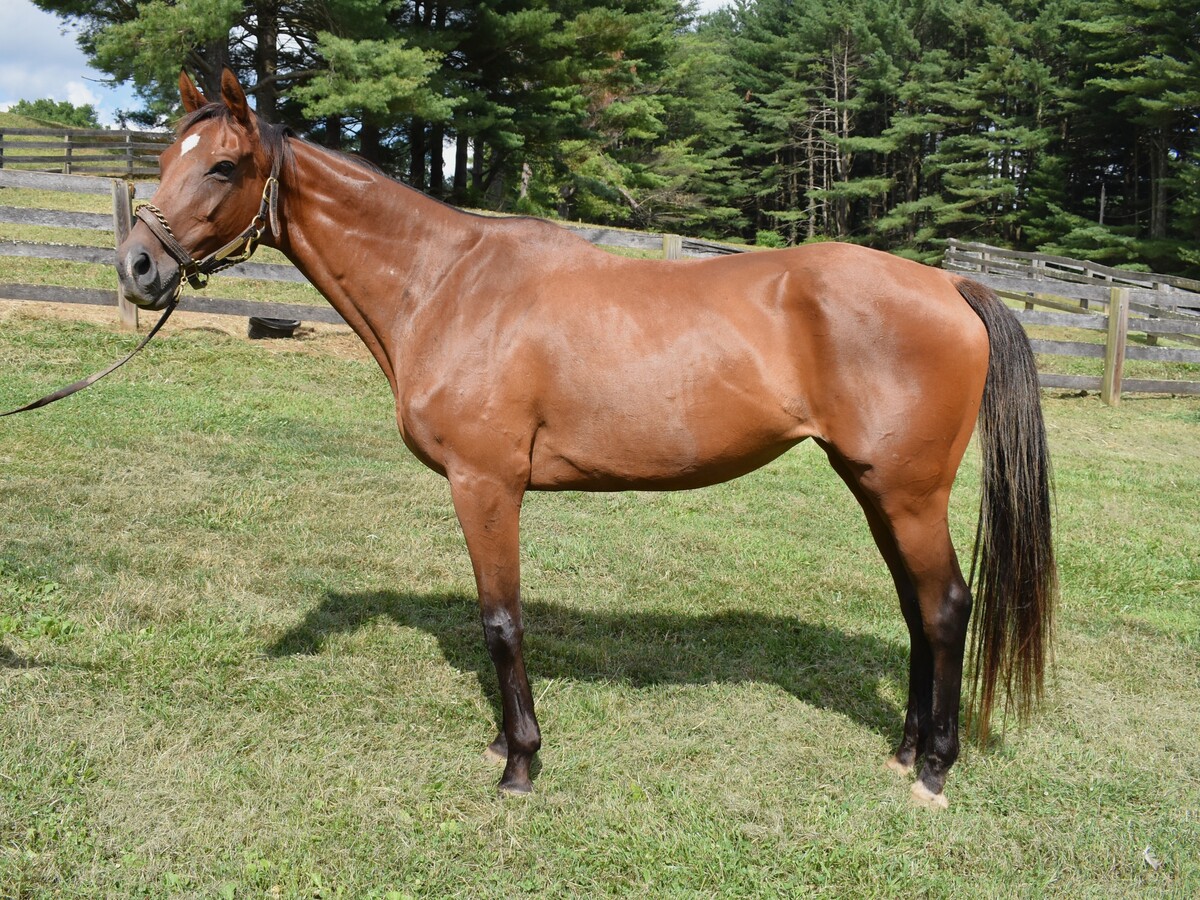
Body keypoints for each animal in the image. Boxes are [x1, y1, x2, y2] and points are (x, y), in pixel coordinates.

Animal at [116, 69, 1056, 809]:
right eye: (162, 162)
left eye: (224, 165)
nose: (137, 268)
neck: (447, 284)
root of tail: (948, 285)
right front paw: (505, 743)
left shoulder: (485, 484)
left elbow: (500, 619)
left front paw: (520, 763)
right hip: (875, 487)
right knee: (915, 609)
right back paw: (903, 751)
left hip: (907, 490)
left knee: (945, 605)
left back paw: (933, 770)